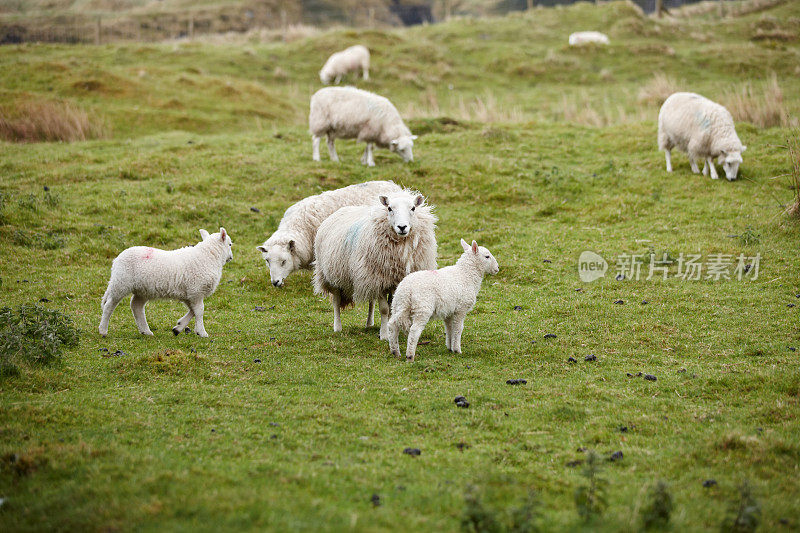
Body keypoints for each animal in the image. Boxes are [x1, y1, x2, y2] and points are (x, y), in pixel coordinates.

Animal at [98, 228, 233, 336]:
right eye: (230, 244)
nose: (231, 257)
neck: (208, 257)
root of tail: (117, 260)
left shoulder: (189, 294)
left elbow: (193, 311)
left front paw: (178, 327)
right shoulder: (196, 291)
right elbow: (199, 311)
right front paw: (202, 332)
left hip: (142, 289)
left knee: (136, 306)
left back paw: (146, 331)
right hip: (121, 283)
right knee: (109, 305)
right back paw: (103, 330)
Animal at [312, 189, 438, 336]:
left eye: (413, 208)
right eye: (389, 208)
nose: (402, 227)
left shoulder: (393, 281)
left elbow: (391, 308)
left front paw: (392, 330)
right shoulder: (379, 280)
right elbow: (384, 309)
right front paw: (384, 334)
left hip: (366, 276)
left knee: (371, 300)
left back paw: (369, 323)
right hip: (333, 275)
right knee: (336, 300)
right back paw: (337, 327)